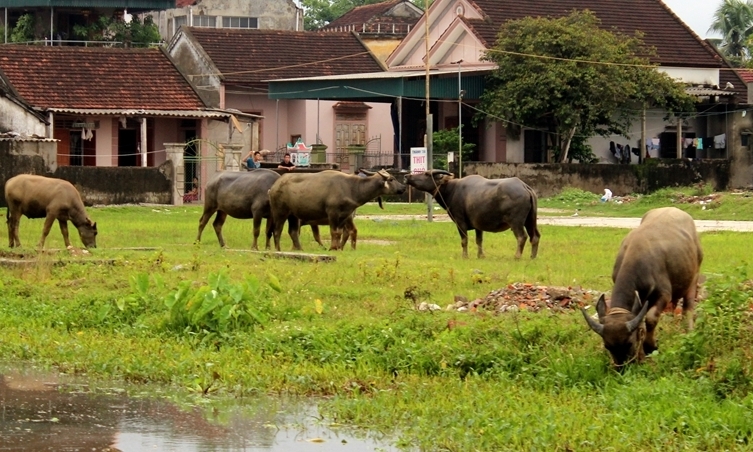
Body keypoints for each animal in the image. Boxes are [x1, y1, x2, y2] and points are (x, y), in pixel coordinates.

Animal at [268, 170, 402, 251]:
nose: (403, 187)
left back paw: (300, 249)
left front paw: (337, 248)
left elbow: (339, 233)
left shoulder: (344, 216)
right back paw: (278, 249)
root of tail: (274, 186)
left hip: (293, 215)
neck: (352, 187)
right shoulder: (332, 213)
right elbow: (333, 232)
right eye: (391, 179)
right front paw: (332, 248)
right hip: (280, 212)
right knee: (277, 230)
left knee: (293, 232)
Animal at [402, 171, 536, 260]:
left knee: (522, 236)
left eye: (426, 174)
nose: (407, 176)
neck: (452, 189)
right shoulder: (478, 225)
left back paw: (517, 256)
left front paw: (465, 256)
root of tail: (525, 187)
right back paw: (532, 256)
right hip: (531, 219)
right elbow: (479, 240)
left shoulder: (460, 221)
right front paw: (480, 255)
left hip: (516, 222)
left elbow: (464, 240)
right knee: (535, 236)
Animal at [580, 207, 704, 368]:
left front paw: (650, 347)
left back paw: (688, 330)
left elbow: (650, 318)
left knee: (687, 307)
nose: (622, 368)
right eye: (607, 346)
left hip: (694, 276)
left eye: (629, 343)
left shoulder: (663, 294)